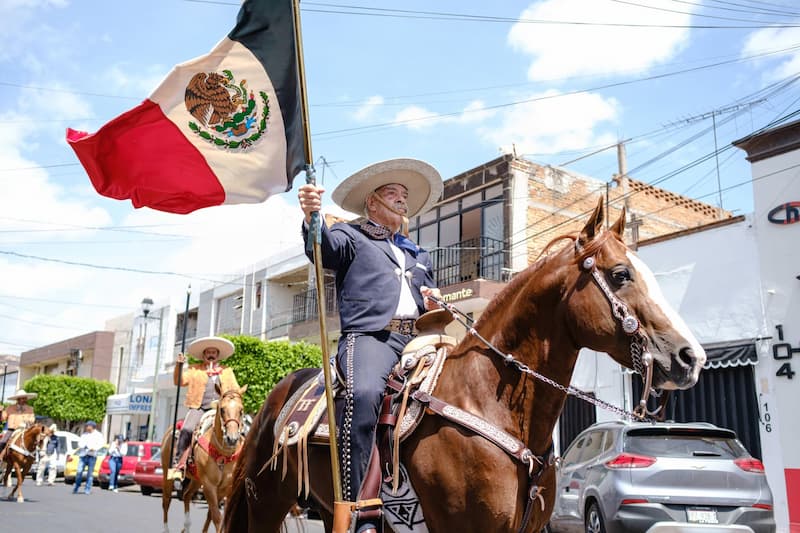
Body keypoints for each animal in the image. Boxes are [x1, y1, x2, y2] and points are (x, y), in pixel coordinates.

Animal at [162, 382, 247, 532]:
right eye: (222, 409)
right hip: (168, 473)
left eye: (241, 410)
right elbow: (217, 517)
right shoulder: (209, 485)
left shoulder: (226, 488)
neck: (224, 454)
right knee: (166, 501)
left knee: (186, 495)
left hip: (196, 480)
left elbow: (212, 515)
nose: (232, 439)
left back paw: (186, 527)